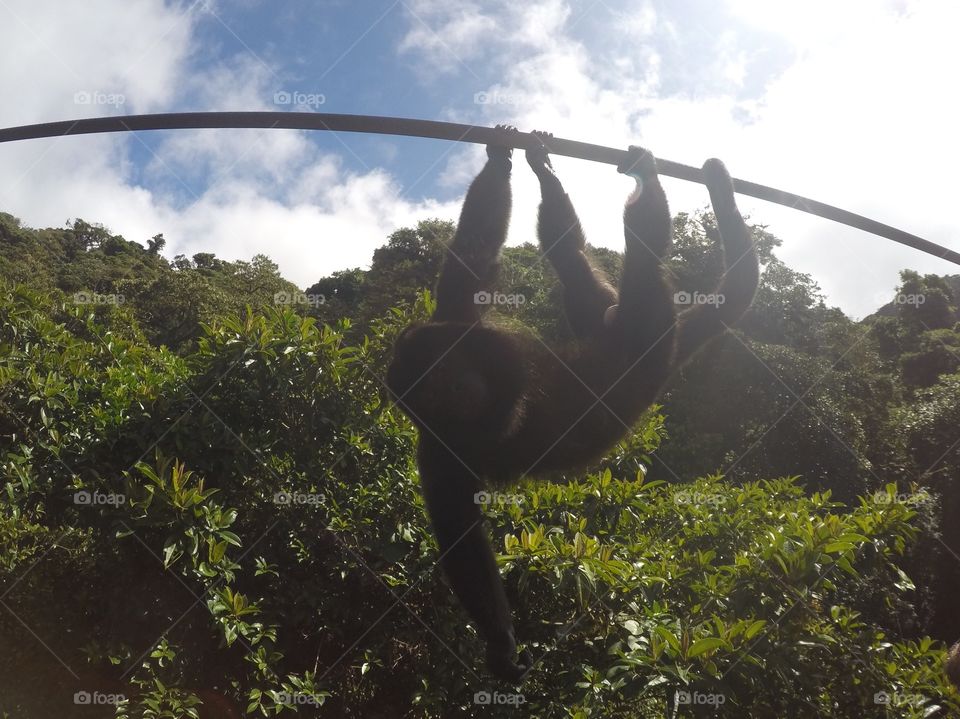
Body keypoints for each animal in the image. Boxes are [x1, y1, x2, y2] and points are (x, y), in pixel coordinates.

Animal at [386, 126, 759, 681]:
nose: (455, 391)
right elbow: (461, 536)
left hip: (622, 325)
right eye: (430, 393)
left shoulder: (455, 330)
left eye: (441, 376)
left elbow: (471, 263)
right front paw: (502, 643)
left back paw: (595, 179)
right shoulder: (438, 448)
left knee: (597, 255)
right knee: (627, 257)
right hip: (646, 331)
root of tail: (660, 359)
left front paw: (500, 161)